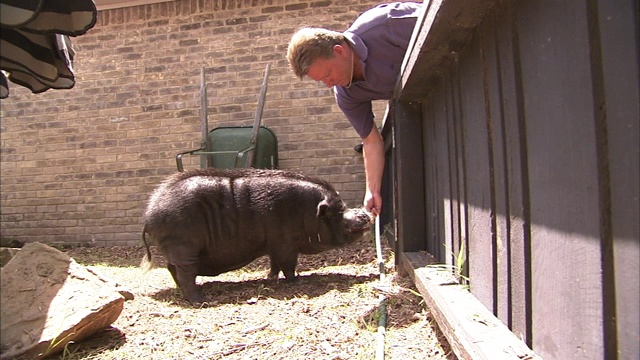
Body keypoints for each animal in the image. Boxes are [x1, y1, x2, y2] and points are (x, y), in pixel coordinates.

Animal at [140, 168, 370, 304]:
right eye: (337, 213)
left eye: (343, 206)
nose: (364, 213)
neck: (306, 212)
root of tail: (149, 215)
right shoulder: (286, 244)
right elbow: (289, 264)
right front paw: (296, 281)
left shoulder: (274, 244)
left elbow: (274, 263)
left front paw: (270, 278)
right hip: (183, 245)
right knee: (185, 273)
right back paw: (200, 299)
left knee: (172, 268)